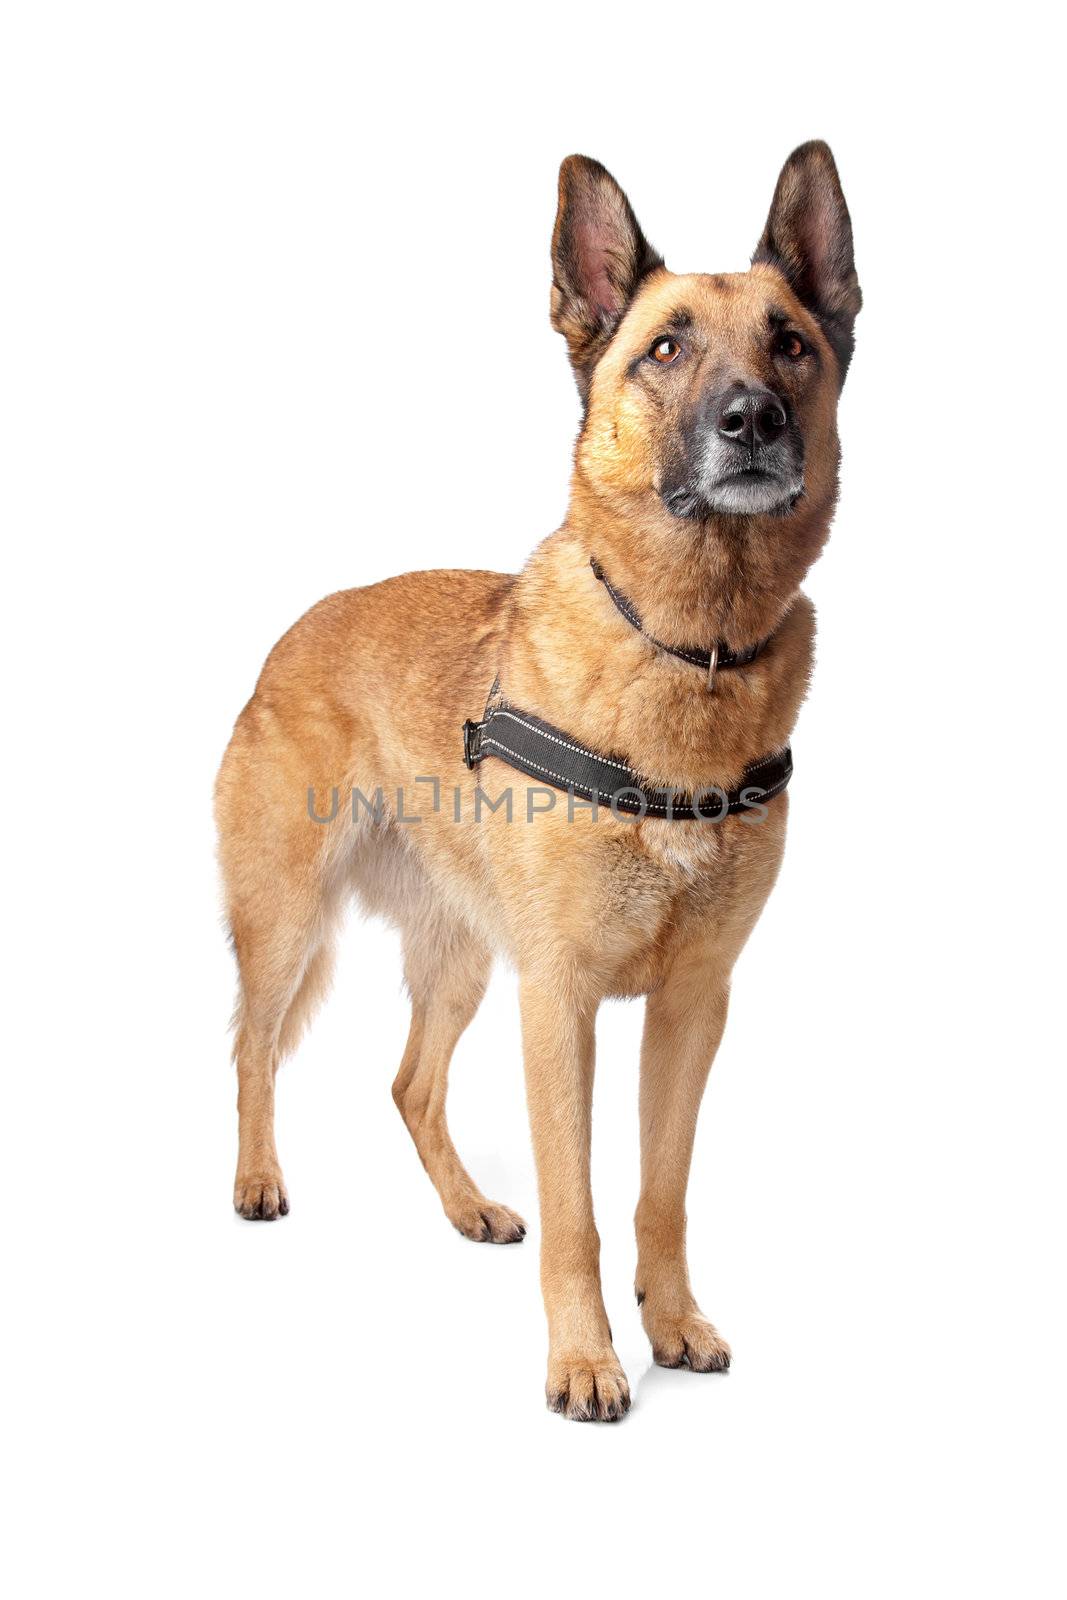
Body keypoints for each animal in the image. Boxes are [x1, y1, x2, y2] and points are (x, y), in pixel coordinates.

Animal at [214, 144, 857, 1427]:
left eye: (790, 342)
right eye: (663, 348)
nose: (750, 418)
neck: (685, 650)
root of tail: (291, 633)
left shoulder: (691, 1007)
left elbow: (658, 1192)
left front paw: (673, 1322)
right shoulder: (557, 1003)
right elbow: (577, 1209)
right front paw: (584, 1360)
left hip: (462, 960)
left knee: (409, 1084)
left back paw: (467, 1206)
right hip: (287, 921)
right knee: (252, 1048)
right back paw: (259, 1179)